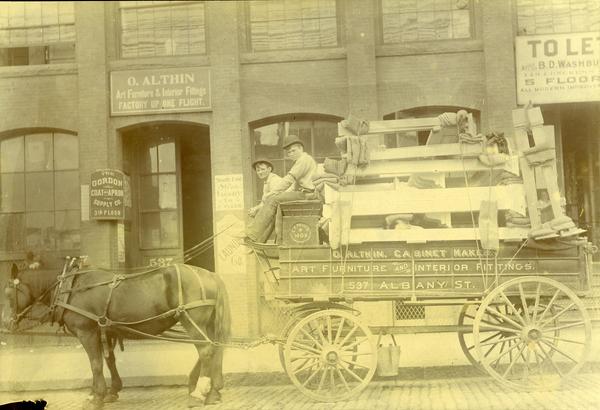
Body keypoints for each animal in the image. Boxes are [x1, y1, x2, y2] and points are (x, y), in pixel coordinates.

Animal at [1, 262, 231, 408]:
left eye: (8, 294)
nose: (4, 323)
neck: (70, 289)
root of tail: (211, 275)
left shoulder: (87, 333)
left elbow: (95, 363)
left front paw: (96, 397)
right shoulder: (106, 330)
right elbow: (109, 360)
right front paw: (110, 391)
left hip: (192, 321)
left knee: (206, 350)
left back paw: (200, 392)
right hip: (206, 323)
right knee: (215, 348)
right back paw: (212, 391)